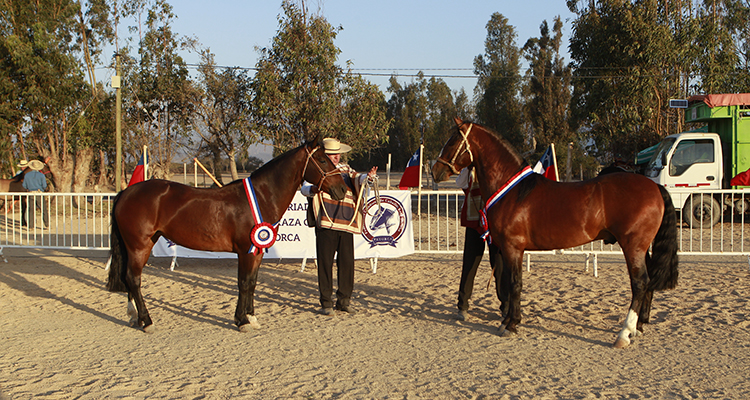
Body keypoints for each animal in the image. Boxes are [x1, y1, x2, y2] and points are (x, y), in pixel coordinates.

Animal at [106, 137, 350, 332]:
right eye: (322, 160)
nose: (342, 189)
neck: (261, 196)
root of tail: (126, 192)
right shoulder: (245, 251)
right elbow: (243, 283)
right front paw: (241, 321)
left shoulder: (257, 251)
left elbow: (252, 282)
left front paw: (251, 317)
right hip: (139, 246)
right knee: (133, 279)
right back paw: (146, 321)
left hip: (138, 245)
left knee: (129, 278)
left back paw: (134, 316)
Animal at [432, 117, 680, 348]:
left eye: (452, 141)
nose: (436, 171)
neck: (513, 192)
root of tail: (654, 186)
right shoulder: (505, 249)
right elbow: (508, 284)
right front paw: (507, 321)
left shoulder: (513, 248)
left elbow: (514, 283)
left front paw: (511, 325)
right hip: (642, 248)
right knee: (648, 282)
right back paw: (638, 328)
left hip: (633, 246)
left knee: (639, 283)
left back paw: (624, 334)